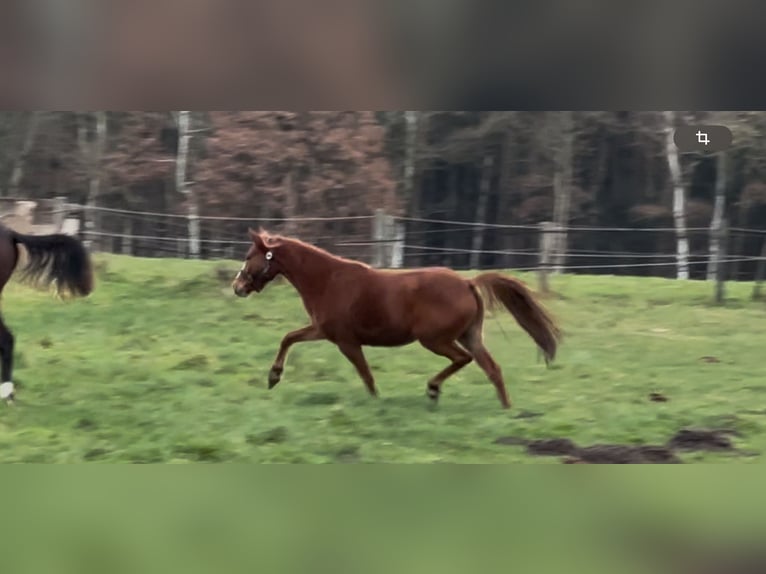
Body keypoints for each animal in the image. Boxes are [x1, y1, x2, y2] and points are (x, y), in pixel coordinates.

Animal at [231, 228, 560, 410]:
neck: (328, 280)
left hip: (435, 339)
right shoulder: (323, 331)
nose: (237, 286)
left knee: (463, 359)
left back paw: (433, 389)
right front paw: (273, 377)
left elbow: (366, 374)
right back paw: (506, 409)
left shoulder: (346, 341)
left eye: (248, 257)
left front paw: (376, 402)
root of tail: (467, 283)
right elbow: (289, 337)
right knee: (491, 368)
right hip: (469, 335)